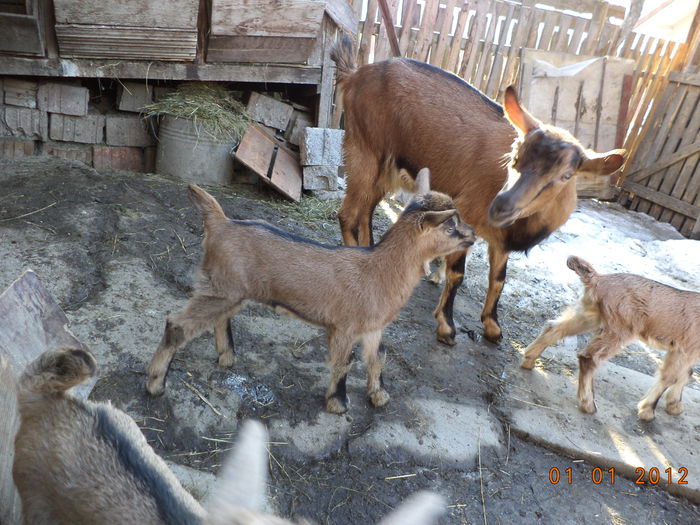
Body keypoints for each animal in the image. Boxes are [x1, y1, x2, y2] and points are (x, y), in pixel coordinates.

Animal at [147, 169, 476, 414]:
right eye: (450, 226)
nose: (472, 235)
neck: (380, 270)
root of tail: (220, 223)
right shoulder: (344, 326)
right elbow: (344, 362)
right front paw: (338, 404)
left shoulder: (373, 327)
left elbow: (378, 357)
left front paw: (379, 396)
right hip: (219, 289)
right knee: (177, 325)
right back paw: (155, 384)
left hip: (229, 290)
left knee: (219, 319)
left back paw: (227, 357)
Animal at [520, 256, 700, 420]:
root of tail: (598, 279)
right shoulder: (685, 349)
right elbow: (670, 376)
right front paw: (648, 411)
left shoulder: (684, 351)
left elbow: (686, 374)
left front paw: (674, 405)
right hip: (619, 329)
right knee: (588, 358)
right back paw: (588, 404)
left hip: (590, 315)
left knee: (554, 328)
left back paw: (528, 361)